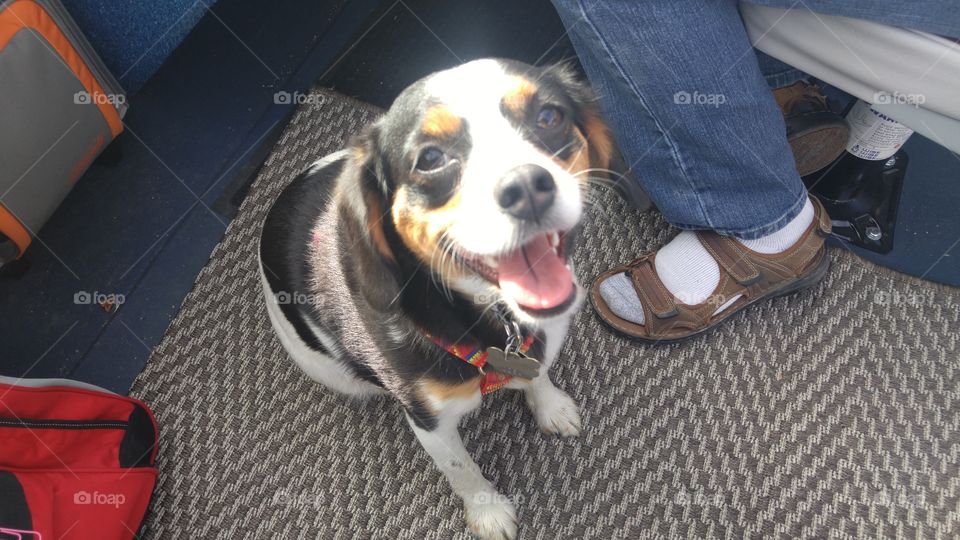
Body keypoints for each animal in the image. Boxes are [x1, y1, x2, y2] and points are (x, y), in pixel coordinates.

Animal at [258, 59, 612, 540]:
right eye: (430, 159)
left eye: (549, 116)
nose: (525, 185)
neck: (493, 319)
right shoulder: (429, 420)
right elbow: (461, 469)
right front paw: (488, 513)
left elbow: (538, 374)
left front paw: (550, 406)